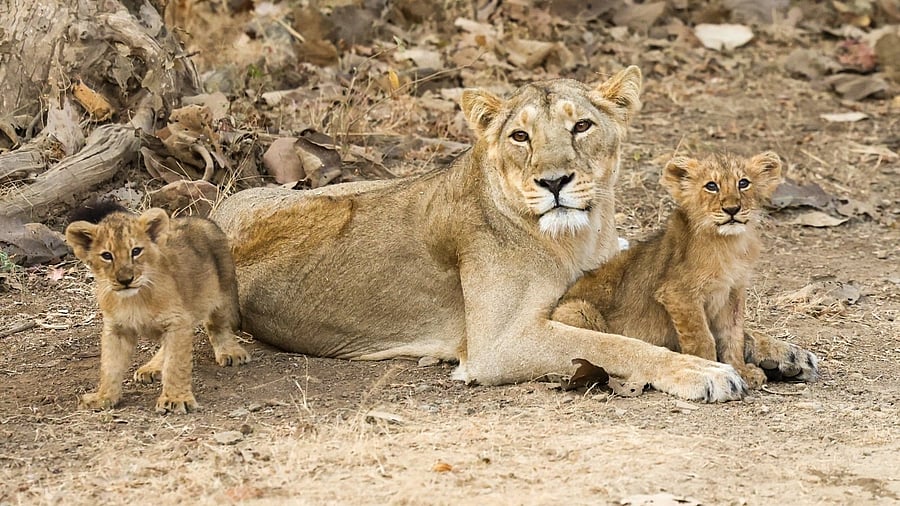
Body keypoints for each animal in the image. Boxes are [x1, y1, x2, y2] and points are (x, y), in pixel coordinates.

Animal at [65, 202, 251, 413]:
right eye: (106, 255)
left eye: (136, 251)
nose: (125, 280)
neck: (133, 300)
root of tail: (200, 218)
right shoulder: (116, 328)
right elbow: (110, 365)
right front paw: (103, 398)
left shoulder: (178, 321)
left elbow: (176, 363)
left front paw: (176, 399)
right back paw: (151, 368)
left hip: (222, 289)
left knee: (218, 325)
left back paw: (230, 352)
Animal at [553, 152, 819, 389]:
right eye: (711, 186)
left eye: (743, 183)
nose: (732, 209)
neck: (728, 244)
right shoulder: (678, 293)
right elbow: (702, 337)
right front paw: (713, 370)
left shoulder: (732, 293)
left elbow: (732, 335)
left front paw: (742, 370)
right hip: (576, 310)